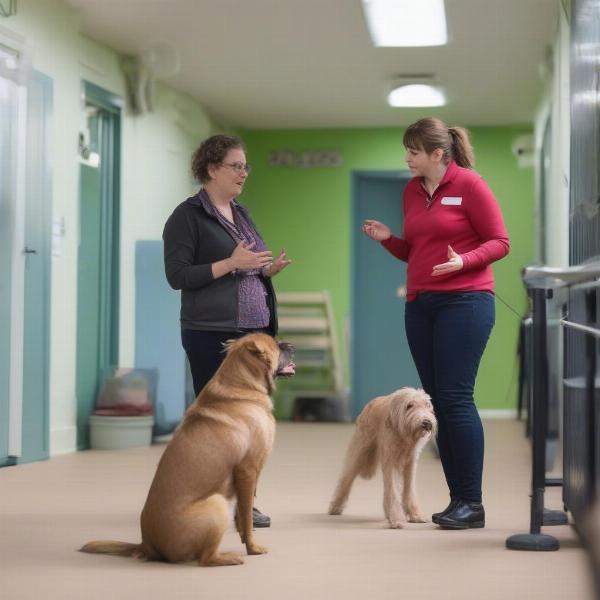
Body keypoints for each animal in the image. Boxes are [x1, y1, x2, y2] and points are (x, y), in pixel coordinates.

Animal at [79, 332, 296, 568]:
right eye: (277, 345)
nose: (292, 346)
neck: (243, 386)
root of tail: (146, 545)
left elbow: (242, 516)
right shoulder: (247, 471)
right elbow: (247, 519)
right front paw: (253, 548)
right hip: (217, 504)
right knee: (206, 559)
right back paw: (229, 558)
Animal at [328, 386, 436, 528]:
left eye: (427, 405)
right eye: (409, 405)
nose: (426, 422)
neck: (402, 433)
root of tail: (371, 403)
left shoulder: (410, 462)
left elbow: (409, 490)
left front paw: (415, 515)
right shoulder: (389, 460)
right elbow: (392, 491)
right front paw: (396, 519)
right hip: (359, 451)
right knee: (346, 478)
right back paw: (335, 506)